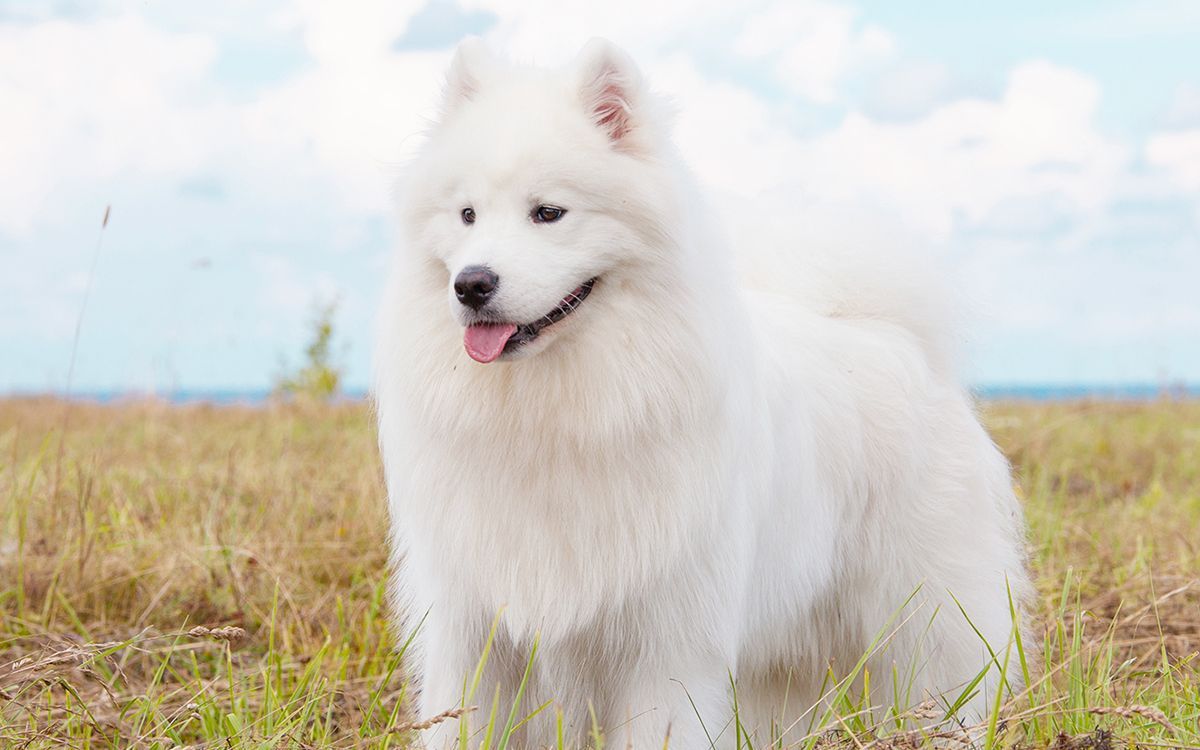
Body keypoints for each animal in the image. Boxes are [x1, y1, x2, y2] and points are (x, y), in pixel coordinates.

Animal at [374, 38, 1032, 744]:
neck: (556, 412)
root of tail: (897, 338)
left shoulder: (665, 646)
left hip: (925, 627)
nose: (471, 284)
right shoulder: (477, 638)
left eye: (548, 213)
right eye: (466, 215)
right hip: (785, 658)